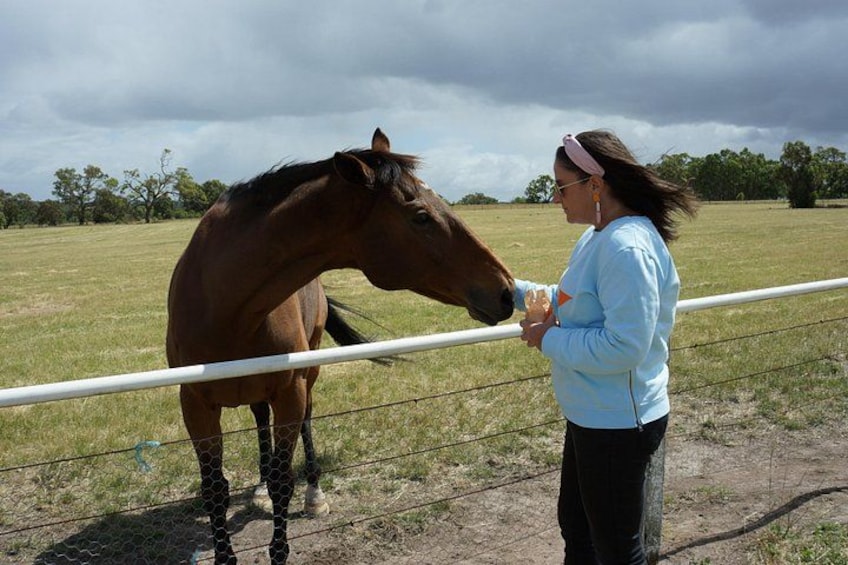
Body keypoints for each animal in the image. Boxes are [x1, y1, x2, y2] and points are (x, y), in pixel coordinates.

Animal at [165, 128, 514, 564]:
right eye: (421, 216)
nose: (506, 289)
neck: (226, 304)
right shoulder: (195, 404)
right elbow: (215, 490)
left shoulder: (290, 390)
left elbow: (284, 480)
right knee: (260, 419)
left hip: (307, 374)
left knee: (306, 420)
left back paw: (314, 493)